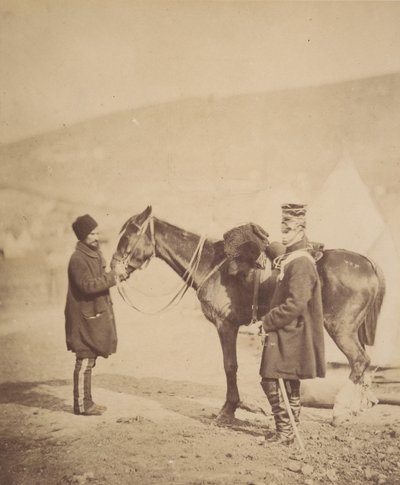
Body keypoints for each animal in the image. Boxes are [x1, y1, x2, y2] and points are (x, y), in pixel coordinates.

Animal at [110, 206, 384, 422]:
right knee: (365, 363)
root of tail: (367, 263)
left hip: (340, 329)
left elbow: (230, 366)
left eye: (127, 236)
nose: (112, 269)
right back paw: (359, 405)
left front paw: (228, 410)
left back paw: (341, 410)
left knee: (359, 361)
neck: (212, 264)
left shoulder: (226, 325)